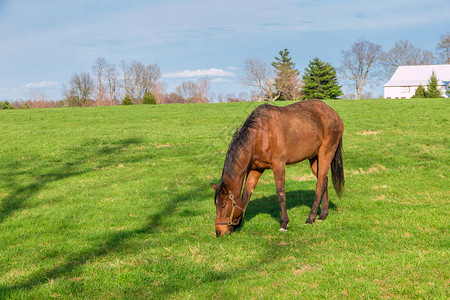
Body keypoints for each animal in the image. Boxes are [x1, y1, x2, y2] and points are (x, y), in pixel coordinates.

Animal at [211, 100, 344, 237]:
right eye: (216, 204)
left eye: (223, 205)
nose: (218, 232)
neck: (260, 136)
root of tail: (334, 114)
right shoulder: (255, 170)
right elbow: (246, 195)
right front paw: (238, 224)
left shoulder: (278, 165)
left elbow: (280, 194)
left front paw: (284, 224)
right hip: (314, 158)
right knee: (324, 181)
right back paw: (322, 215)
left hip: (325, 154)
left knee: (319, 184)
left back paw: (311, 217)